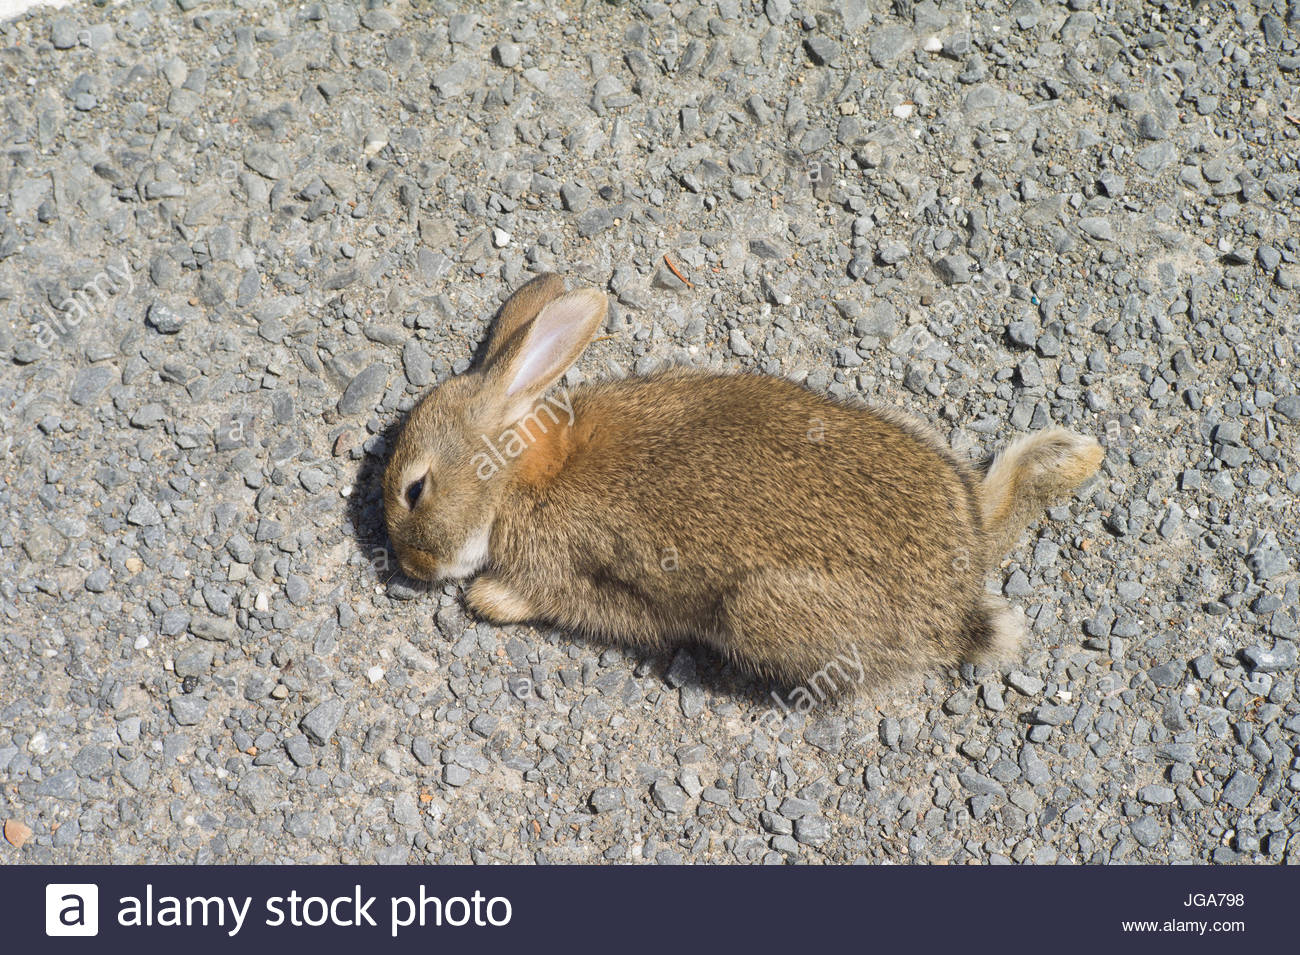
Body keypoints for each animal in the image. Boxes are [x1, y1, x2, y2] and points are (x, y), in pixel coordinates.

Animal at [383, 272, 1103, 693]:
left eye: (415, 489)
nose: (411, 567)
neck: (516, 471)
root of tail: (956, 602)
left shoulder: (572, 571)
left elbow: (555, 598)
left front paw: (485, 599)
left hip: (759, 613)